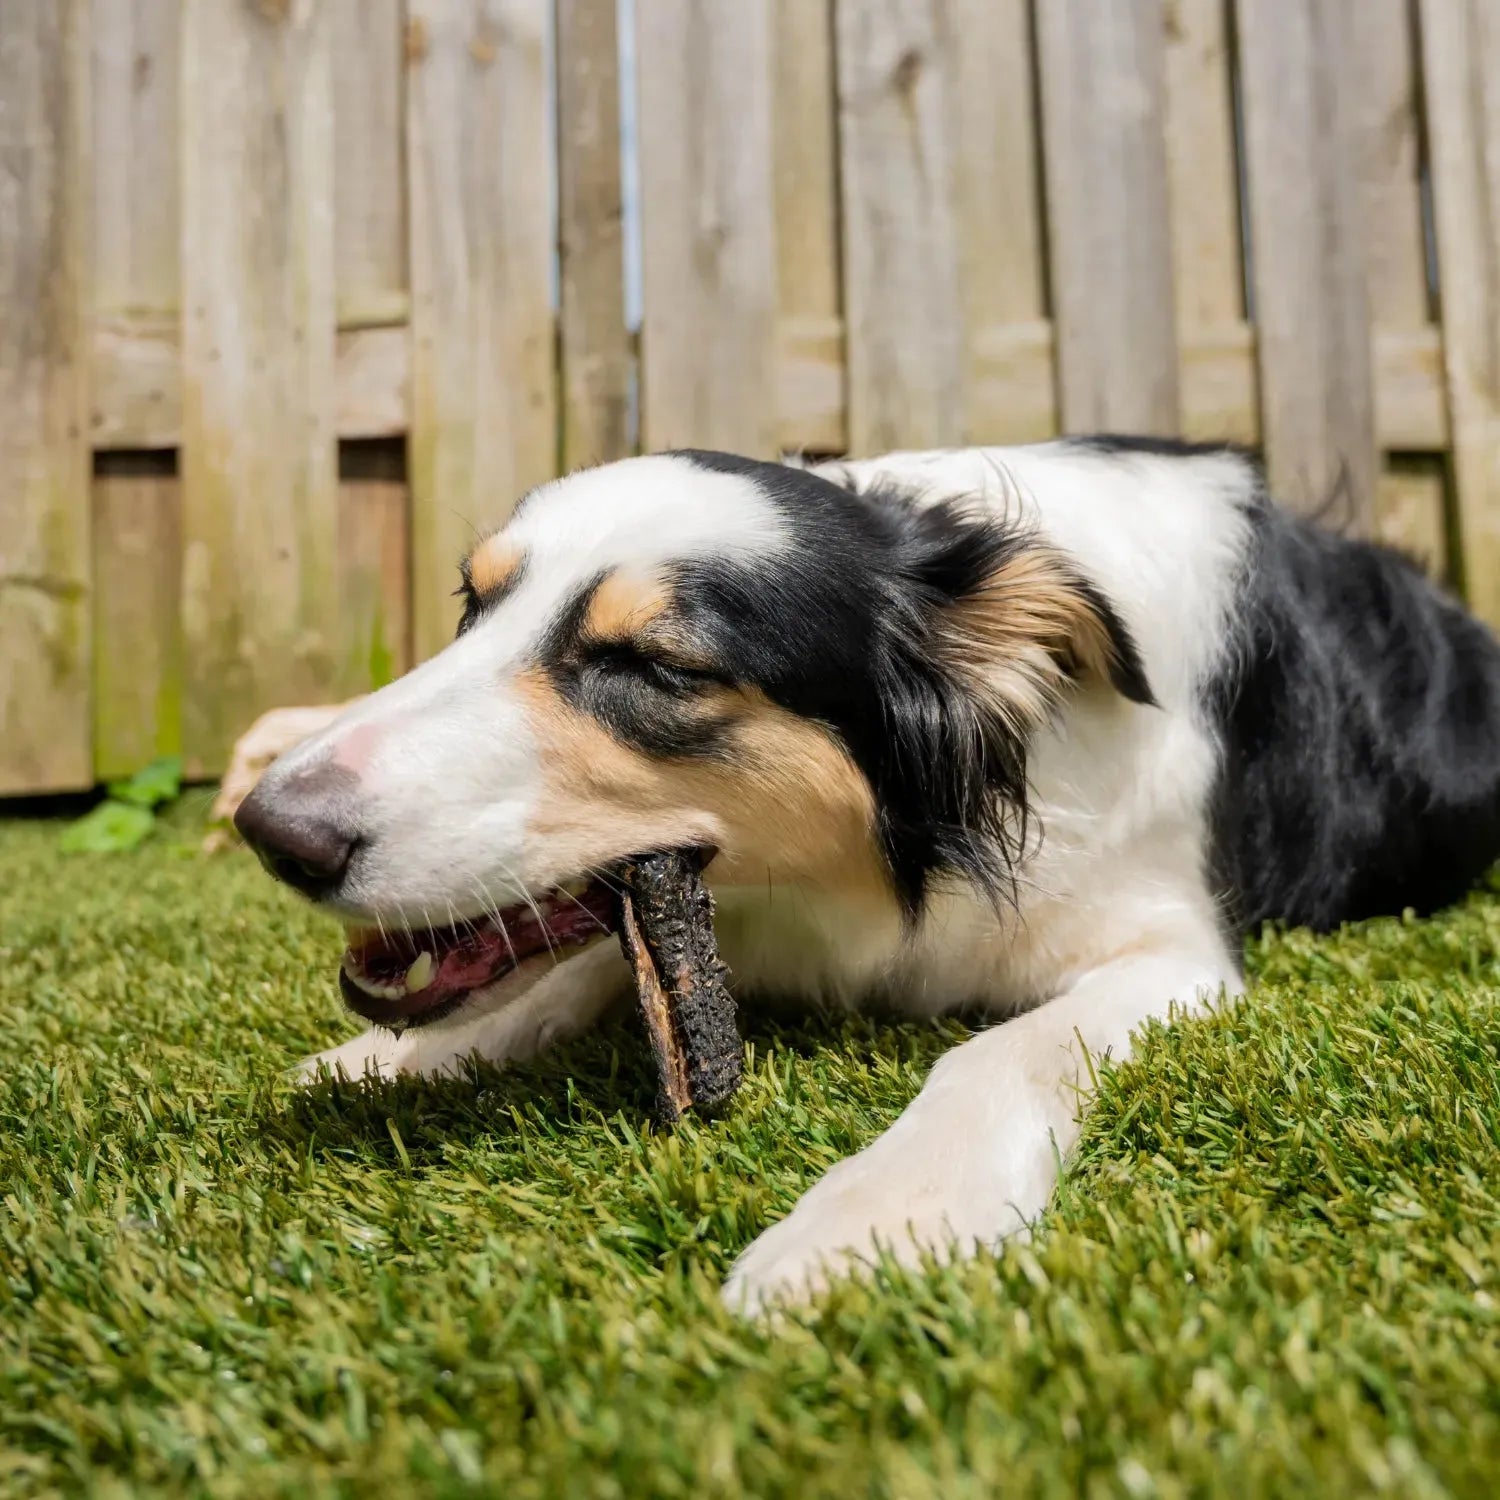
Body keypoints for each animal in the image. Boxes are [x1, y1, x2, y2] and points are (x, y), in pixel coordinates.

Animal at [228, 438, 1500, 1314]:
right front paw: (389, 1055)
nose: (269, 827)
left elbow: (1000, 1050)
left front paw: (878, 1219)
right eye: (472, 605)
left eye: (658, 665)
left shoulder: (1173, 954)